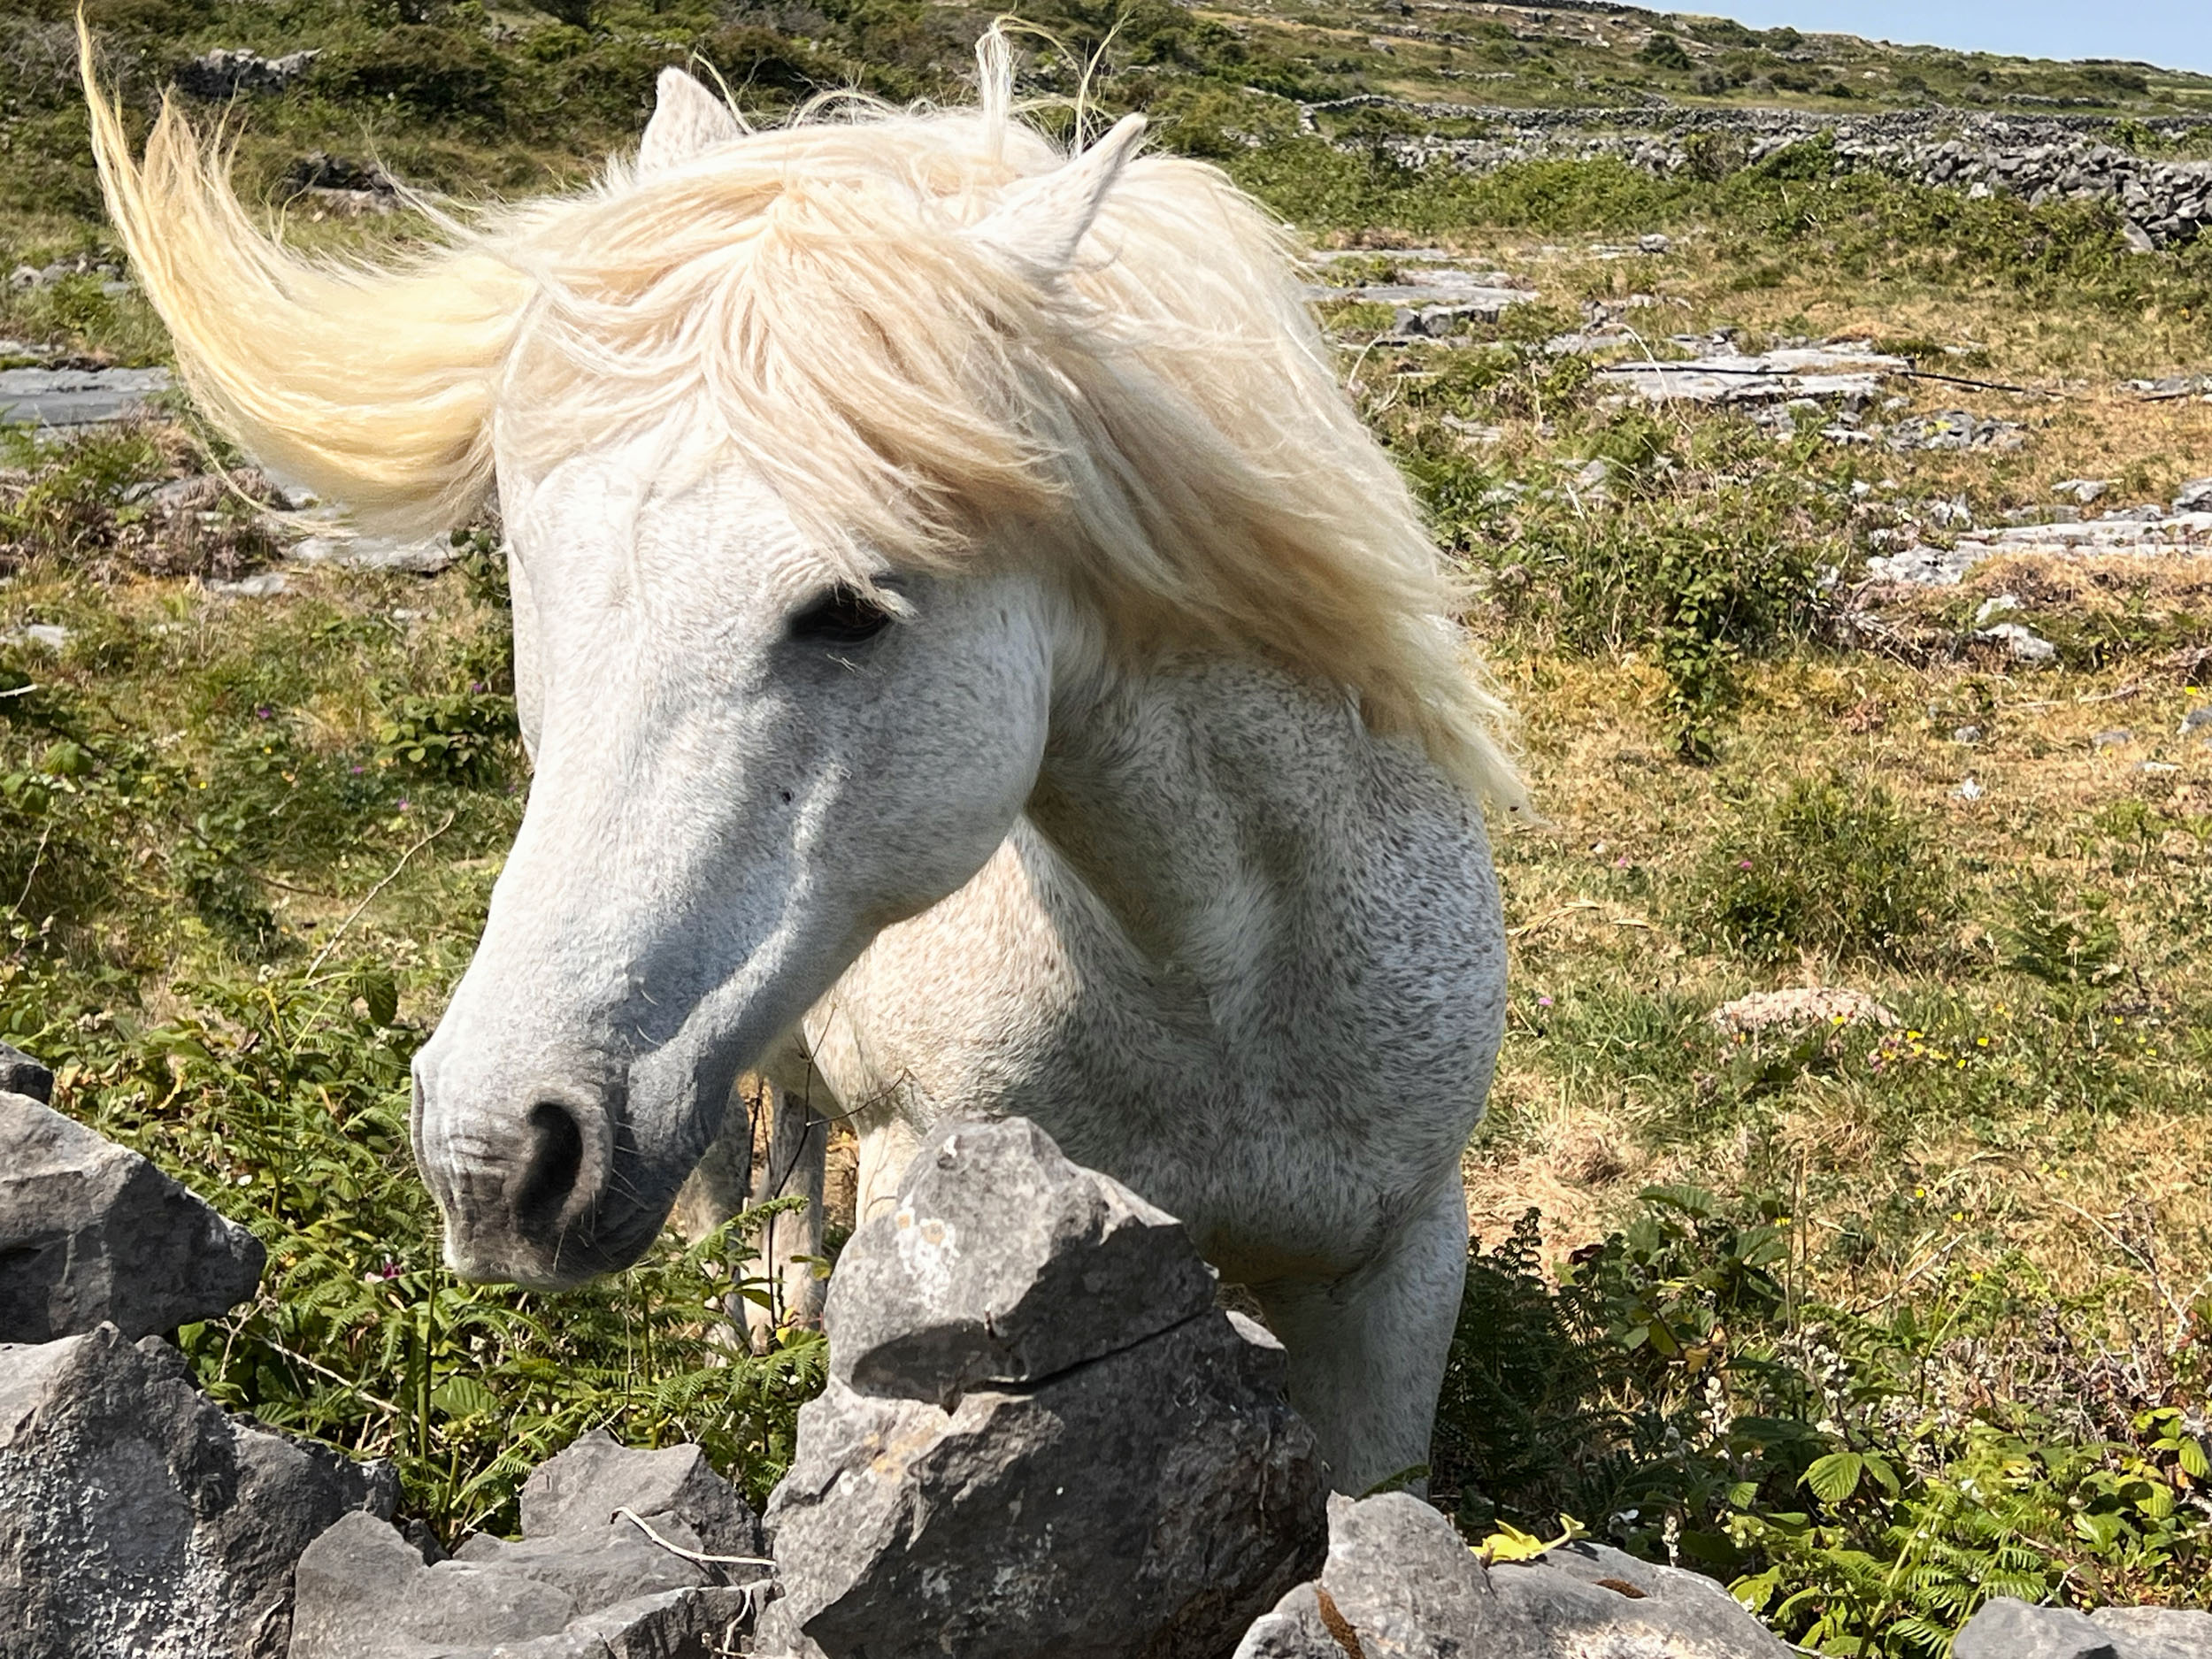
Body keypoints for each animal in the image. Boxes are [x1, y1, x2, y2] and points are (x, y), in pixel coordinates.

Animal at [83, 28, 1523, 1495]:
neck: (1222, 987)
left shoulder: (1400, 1279)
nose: (486, 1155)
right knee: (732, 1178)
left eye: (848, 609)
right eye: (530, 566)